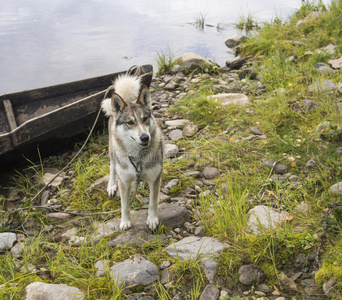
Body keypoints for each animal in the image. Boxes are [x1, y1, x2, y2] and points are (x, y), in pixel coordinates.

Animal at [101, 72, 164, 230]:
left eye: (145, 118)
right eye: (130, 122)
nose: (145, 137)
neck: (138, 156)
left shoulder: (155, 178)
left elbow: (153, 203)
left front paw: (152, 219)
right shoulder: (124, 182)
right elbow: (124, 205)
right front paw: (125, 222)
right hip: (112, 150)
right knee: (112, 167)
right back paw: (111, 185)